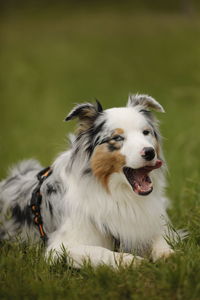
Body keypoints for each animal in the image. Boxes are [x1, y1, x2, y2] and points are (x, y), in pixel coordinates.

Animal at [0, 94, 175, 268]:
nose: (150, 152)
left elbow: (159, 236)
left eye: (146, 132)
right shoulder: (60, 248)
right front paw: (130, 260)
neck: (116, 192)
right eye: (117, 137)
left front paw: (167, 254)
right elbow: (100, 251)